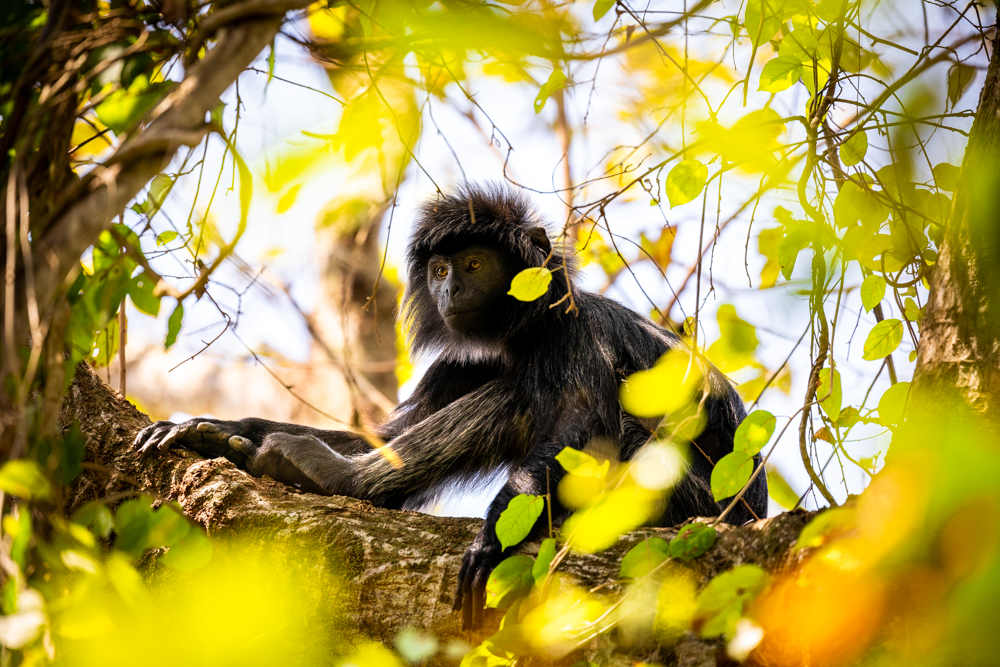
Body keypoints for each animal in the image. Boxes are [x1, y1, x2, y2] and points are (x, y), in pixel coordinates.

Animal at [133, 183, 768, 632]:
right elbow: (383, 435)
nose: (449, 289)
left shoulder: (576, 332)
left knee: (538, 402)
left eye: (475, 265)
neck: (522, 336)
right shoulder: (461, 365)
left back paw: (330, 476)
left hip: (691, 501)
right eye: (440, 269)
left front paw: (491, 545)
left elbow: (582, 433)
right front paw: (213, 428)